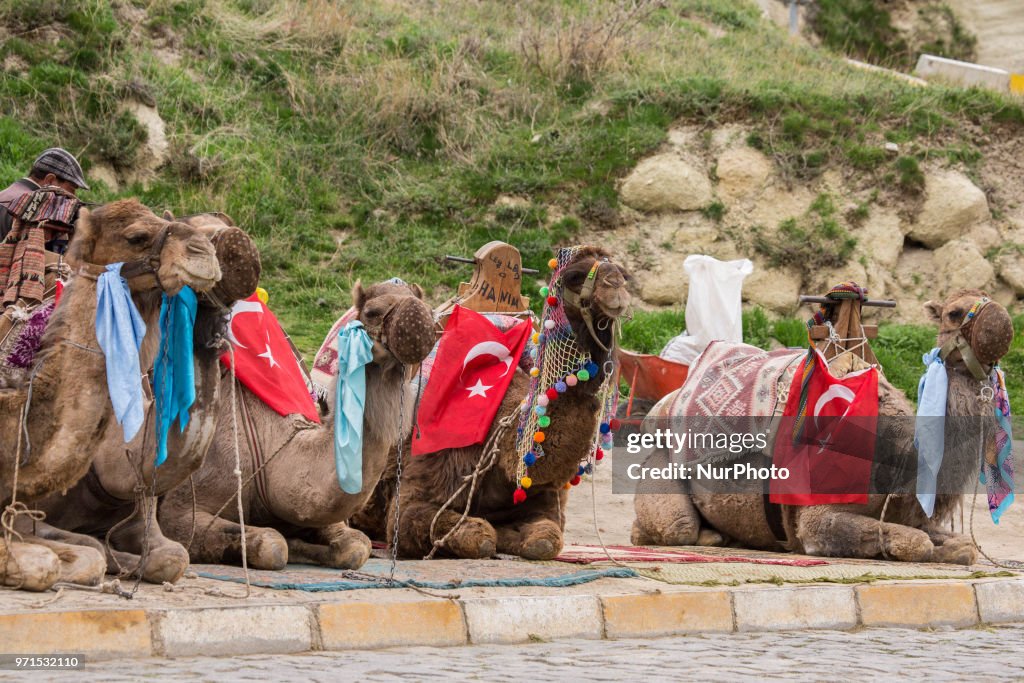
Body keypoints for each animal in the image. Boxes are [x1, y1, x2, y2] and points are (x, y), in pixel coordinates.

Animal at [36, 211, 262, 581]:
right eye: (136, 237)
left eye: (221, 225)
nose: (239, 248)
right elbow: (92, 546)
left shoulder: (141, 510)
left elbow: (174, 556)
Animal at [157, 278, 434, 573]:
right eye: (372, 312)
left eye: (428, 310)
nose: (418, 322)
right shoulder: (180, 510)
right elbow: (273, 544)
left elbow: (357, 545)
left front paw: (305, 544)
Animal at [358, 245, 630, 561]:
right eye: (574, 275)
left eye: (624, 274)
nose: (616, 287)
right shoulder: (410, 503)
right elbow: (478, 537)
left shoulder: (545, 505)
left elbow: (546, 540)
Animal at [630, 288, 1015, 565]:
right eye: (954, 312)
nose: (1001, 320)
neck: (901, 455)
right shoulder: (816, 520)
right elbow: (916, 542)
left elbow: (965, 547)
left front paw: (951, 549)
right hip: (661, 473)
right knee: (670, 528)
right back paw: (711, 538)